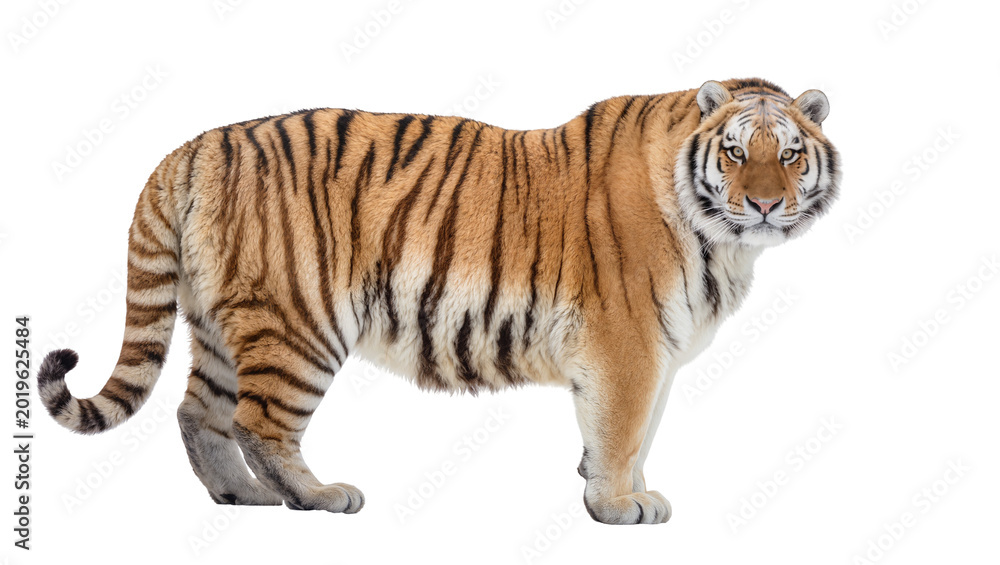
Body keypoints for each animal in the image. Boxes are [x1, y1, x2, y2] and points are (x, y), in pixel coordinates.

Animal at [37, 77, 840, 525]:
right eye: (734, 152)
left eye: (789, 153)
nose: (764, 204)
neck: (722, 242)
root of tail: (193, 147)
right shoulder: (627, 346)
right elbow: (620, 431)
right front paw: (617, 506)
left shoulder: (659, 355)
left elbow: (637, 435)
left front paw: (620, 490)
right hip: (298, 325)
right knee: (259, 424)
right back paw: (318, 496)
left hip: (222, 325)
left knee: (196, 413)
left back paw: (243, 498)